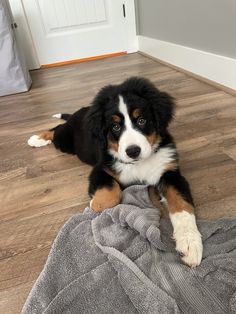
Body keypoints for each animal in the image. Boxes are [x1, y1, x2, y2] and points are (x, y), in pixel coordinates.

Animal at [28, 76, 203, 268]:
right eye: (116, 127)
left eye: (142, 120)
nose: (133, 151)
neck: (139, 164)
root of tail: (80, 111)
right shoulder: (101, 169)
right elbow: (111, 194)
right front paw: (95, 204)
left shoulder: (170, 172)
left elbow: (182, 205)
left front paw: (189, 243)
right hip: (65, 141)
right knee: (56, 129)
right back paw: (37, 138)